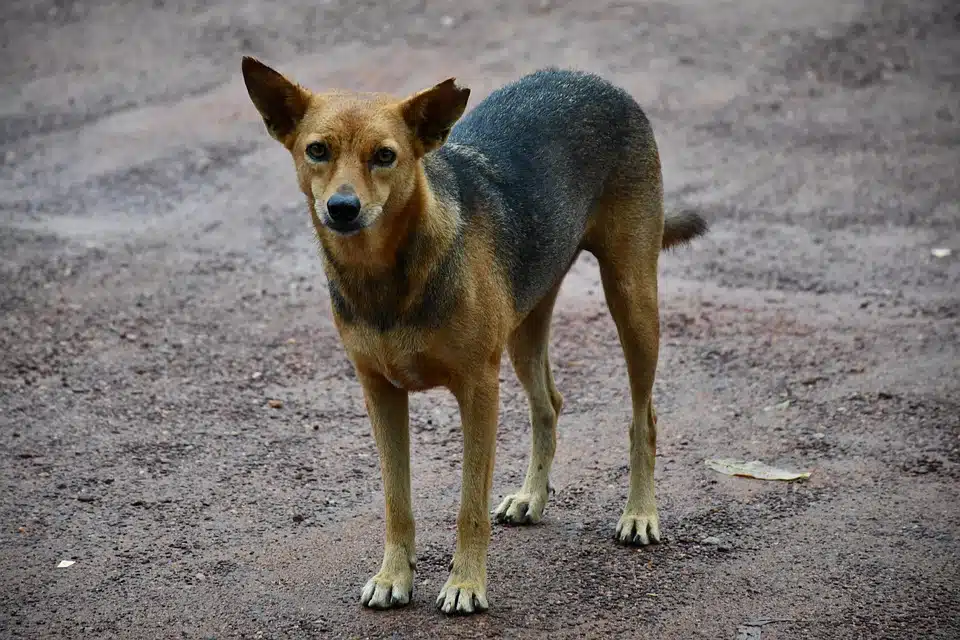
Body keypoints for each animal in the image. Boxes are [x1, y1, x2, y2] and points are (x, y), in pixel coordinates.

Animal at [240, 58, 704, 616]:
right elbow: (397, 501)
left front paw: (465, 584)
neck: (386, 274)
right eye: (317, 150)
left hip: (632, 300)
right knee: (549, 404)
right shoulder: (380, 392)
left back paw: (639, 513)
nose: (343, 208)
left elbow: (469, 507)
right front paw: (394, 576)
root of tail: (592, 79)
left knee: (644, 418)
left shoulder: (478, 390)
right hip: (526, 326)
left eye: (385, 156)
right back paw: (531, 497)